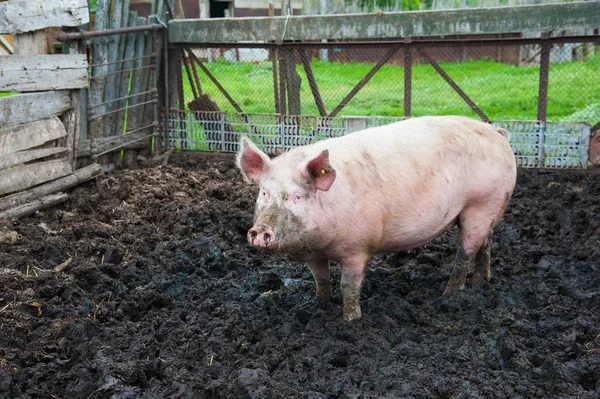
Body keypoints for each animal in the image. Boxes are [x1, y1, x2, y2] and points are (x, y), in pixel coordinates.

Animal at [237, 115, 516, 322]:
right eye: (264, 192)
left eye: (297, 197)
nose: (260, 231)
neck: (320, 242)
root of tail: (498, 133)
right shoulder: (313, 254)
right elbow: (321, 279)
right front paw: (320, 304)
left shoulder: (357, 248)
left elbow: (349, 286)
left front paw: (351, 320)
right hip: (489, 209)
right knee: (485, 244)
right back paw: (481, 283)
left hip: (481, 203)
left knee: (465, 254)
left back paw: (449, 295)